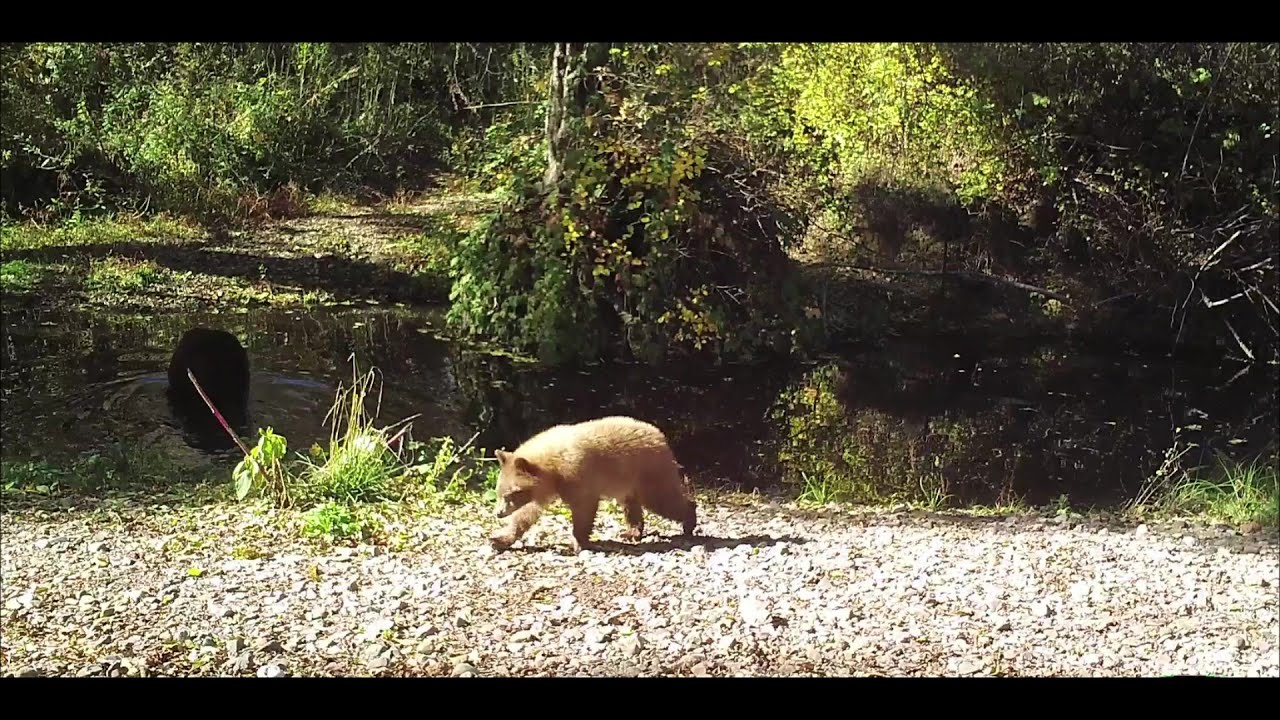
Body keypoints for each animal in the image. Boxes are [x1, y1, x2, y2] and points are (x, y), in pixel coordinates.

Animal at [489, 415, 698, 553]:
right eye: (499, 492)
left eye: (510, 493)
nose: (498, 513)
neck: (553, 467)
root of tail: (660, 435)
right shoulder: (543, 489)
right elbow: (525, 514)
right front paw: (499, 539)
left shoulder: (576, 475)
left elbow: (584, 507)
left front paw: (578, 542)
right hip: (627, 481)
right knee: (631, 504)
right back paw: (631, 532)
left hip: (648, 471)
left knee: (662, 499)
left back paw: (689, 522)